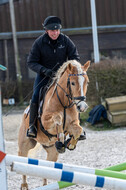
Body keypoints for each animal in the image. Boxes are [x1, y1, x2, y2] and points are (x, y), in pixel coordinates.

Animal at [18, 59, 90, 189]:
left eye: (87, 82)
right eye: (72, 83)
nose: (82, 107)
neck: (65, 103)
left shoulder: (72, 125)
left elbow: (78, 130)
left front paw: (70, 143)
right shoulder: (46, 122)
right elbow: (58, 118)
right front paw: (60, 137)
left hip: (52, 151)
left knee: (48, 168)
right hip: (25, 145)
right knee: (22, 160)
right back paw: (24, 185)